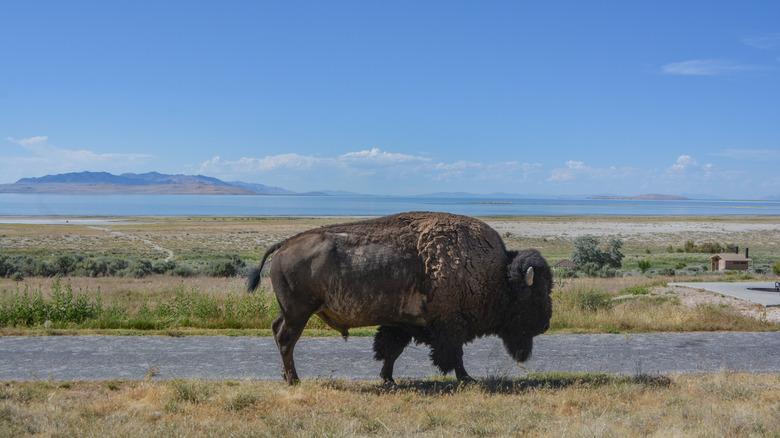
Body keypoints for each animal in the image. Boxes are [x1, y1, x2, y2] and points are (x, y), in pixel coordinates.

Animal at [247, 211, 553, 384]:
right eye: (534, 294)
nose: (546, 323)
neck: (494, 272)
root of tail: (284, 245)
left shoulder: (402, 323)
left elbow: (391, 350)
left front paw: (388, 379)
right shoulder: (450, 325)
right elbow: (455, 354)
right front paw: (468, 379)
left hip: (289, 311)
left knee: (276, 330)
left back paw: (287, 377)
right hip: (298, 313)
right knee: (286, 340)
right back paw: (294, 380)